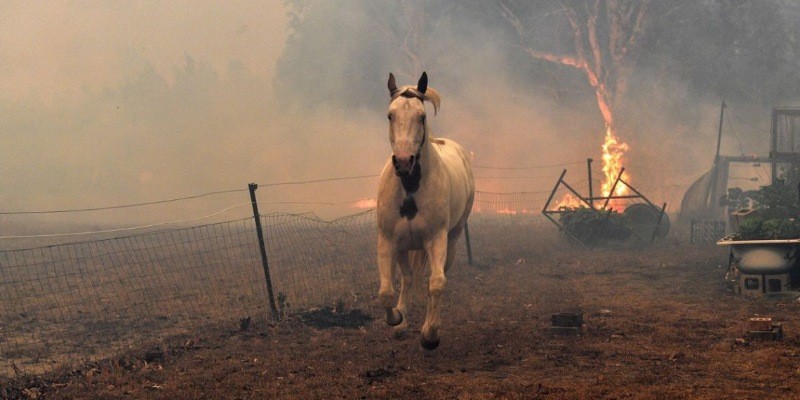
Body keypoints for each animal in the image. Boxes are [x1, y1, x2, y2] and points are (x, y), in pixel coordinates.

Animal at [376, 72, 472, 350]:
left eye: (422, 116)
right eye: (390, 115)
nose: (403, 161)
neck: (410, 189)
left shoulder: (436, 239)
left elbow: (437, 284)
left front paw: (430, 335)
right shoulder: (388, 241)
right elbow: (386, 292)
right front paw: (397, 319)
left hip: (453, 237)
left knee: (435, 277)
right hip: (404, 246)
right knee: (407, 279)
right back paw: (402, 323)